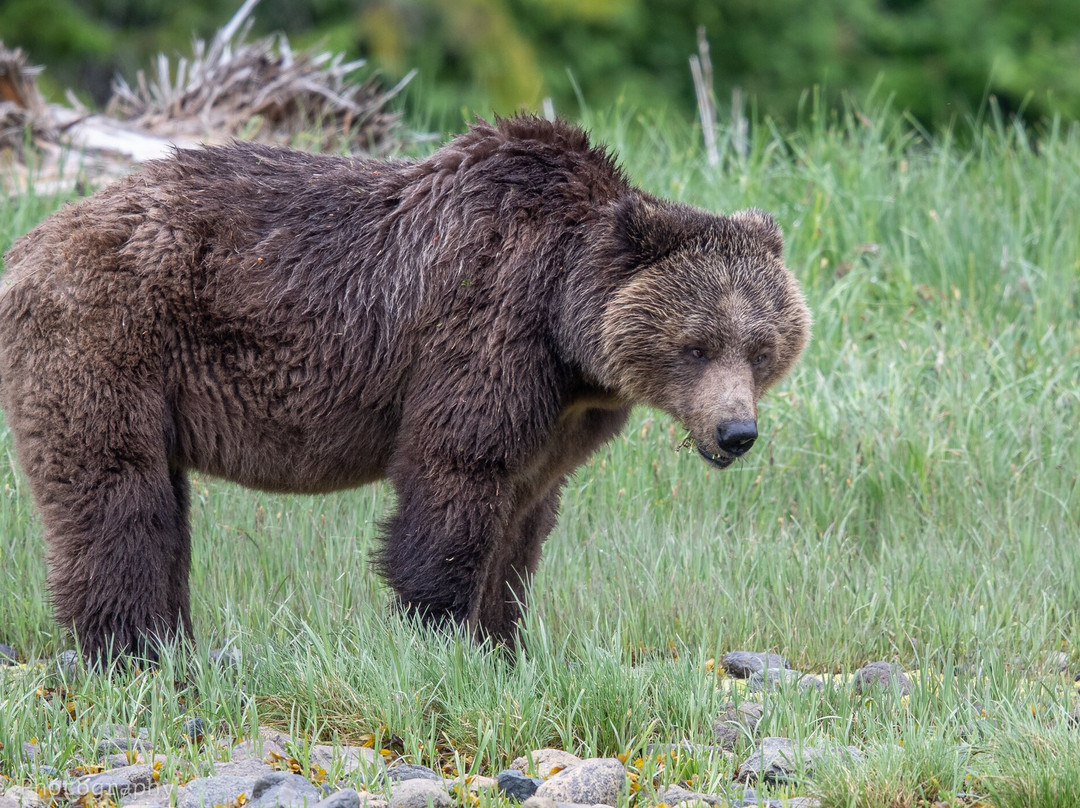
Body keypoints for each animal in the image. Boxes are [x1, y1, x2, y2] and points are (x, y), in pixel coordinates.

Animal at [0, 116, 812, 661]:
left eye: (761, 346)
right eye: (696, 345)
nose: (736, 433)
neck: (566, 327)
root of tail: (30, 243)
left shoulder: (562, 415)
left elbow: (525, 517)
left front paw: (502, 643)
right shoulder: (485, 334)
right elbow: (456, 479)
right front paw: (437, 633)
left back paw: (167, 642)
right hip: (110, 340)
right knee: (117, 492)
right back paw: (132, 648)